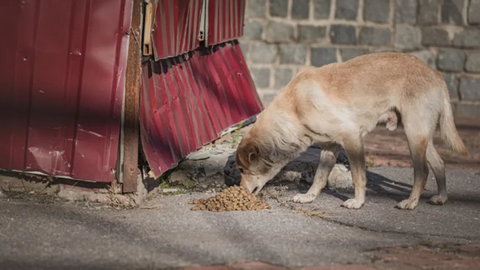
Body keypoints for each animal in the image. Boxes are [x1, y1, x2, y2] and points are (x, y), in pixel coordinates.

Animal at [234, 52, 466, 209]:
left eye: (243, 170)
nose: (239, 191)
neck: (295, 108)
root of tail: (435, 74)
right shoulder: (330, 147)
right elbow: (319, 177)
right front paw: (309, 196)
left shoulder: (352, 139)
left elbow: (358, 176)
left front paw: (358, 202)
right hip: (421, 136)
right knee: (439, 163)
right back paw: (441, 197)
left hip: (413, 134)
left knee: (422, 171)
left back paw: (411, 202)